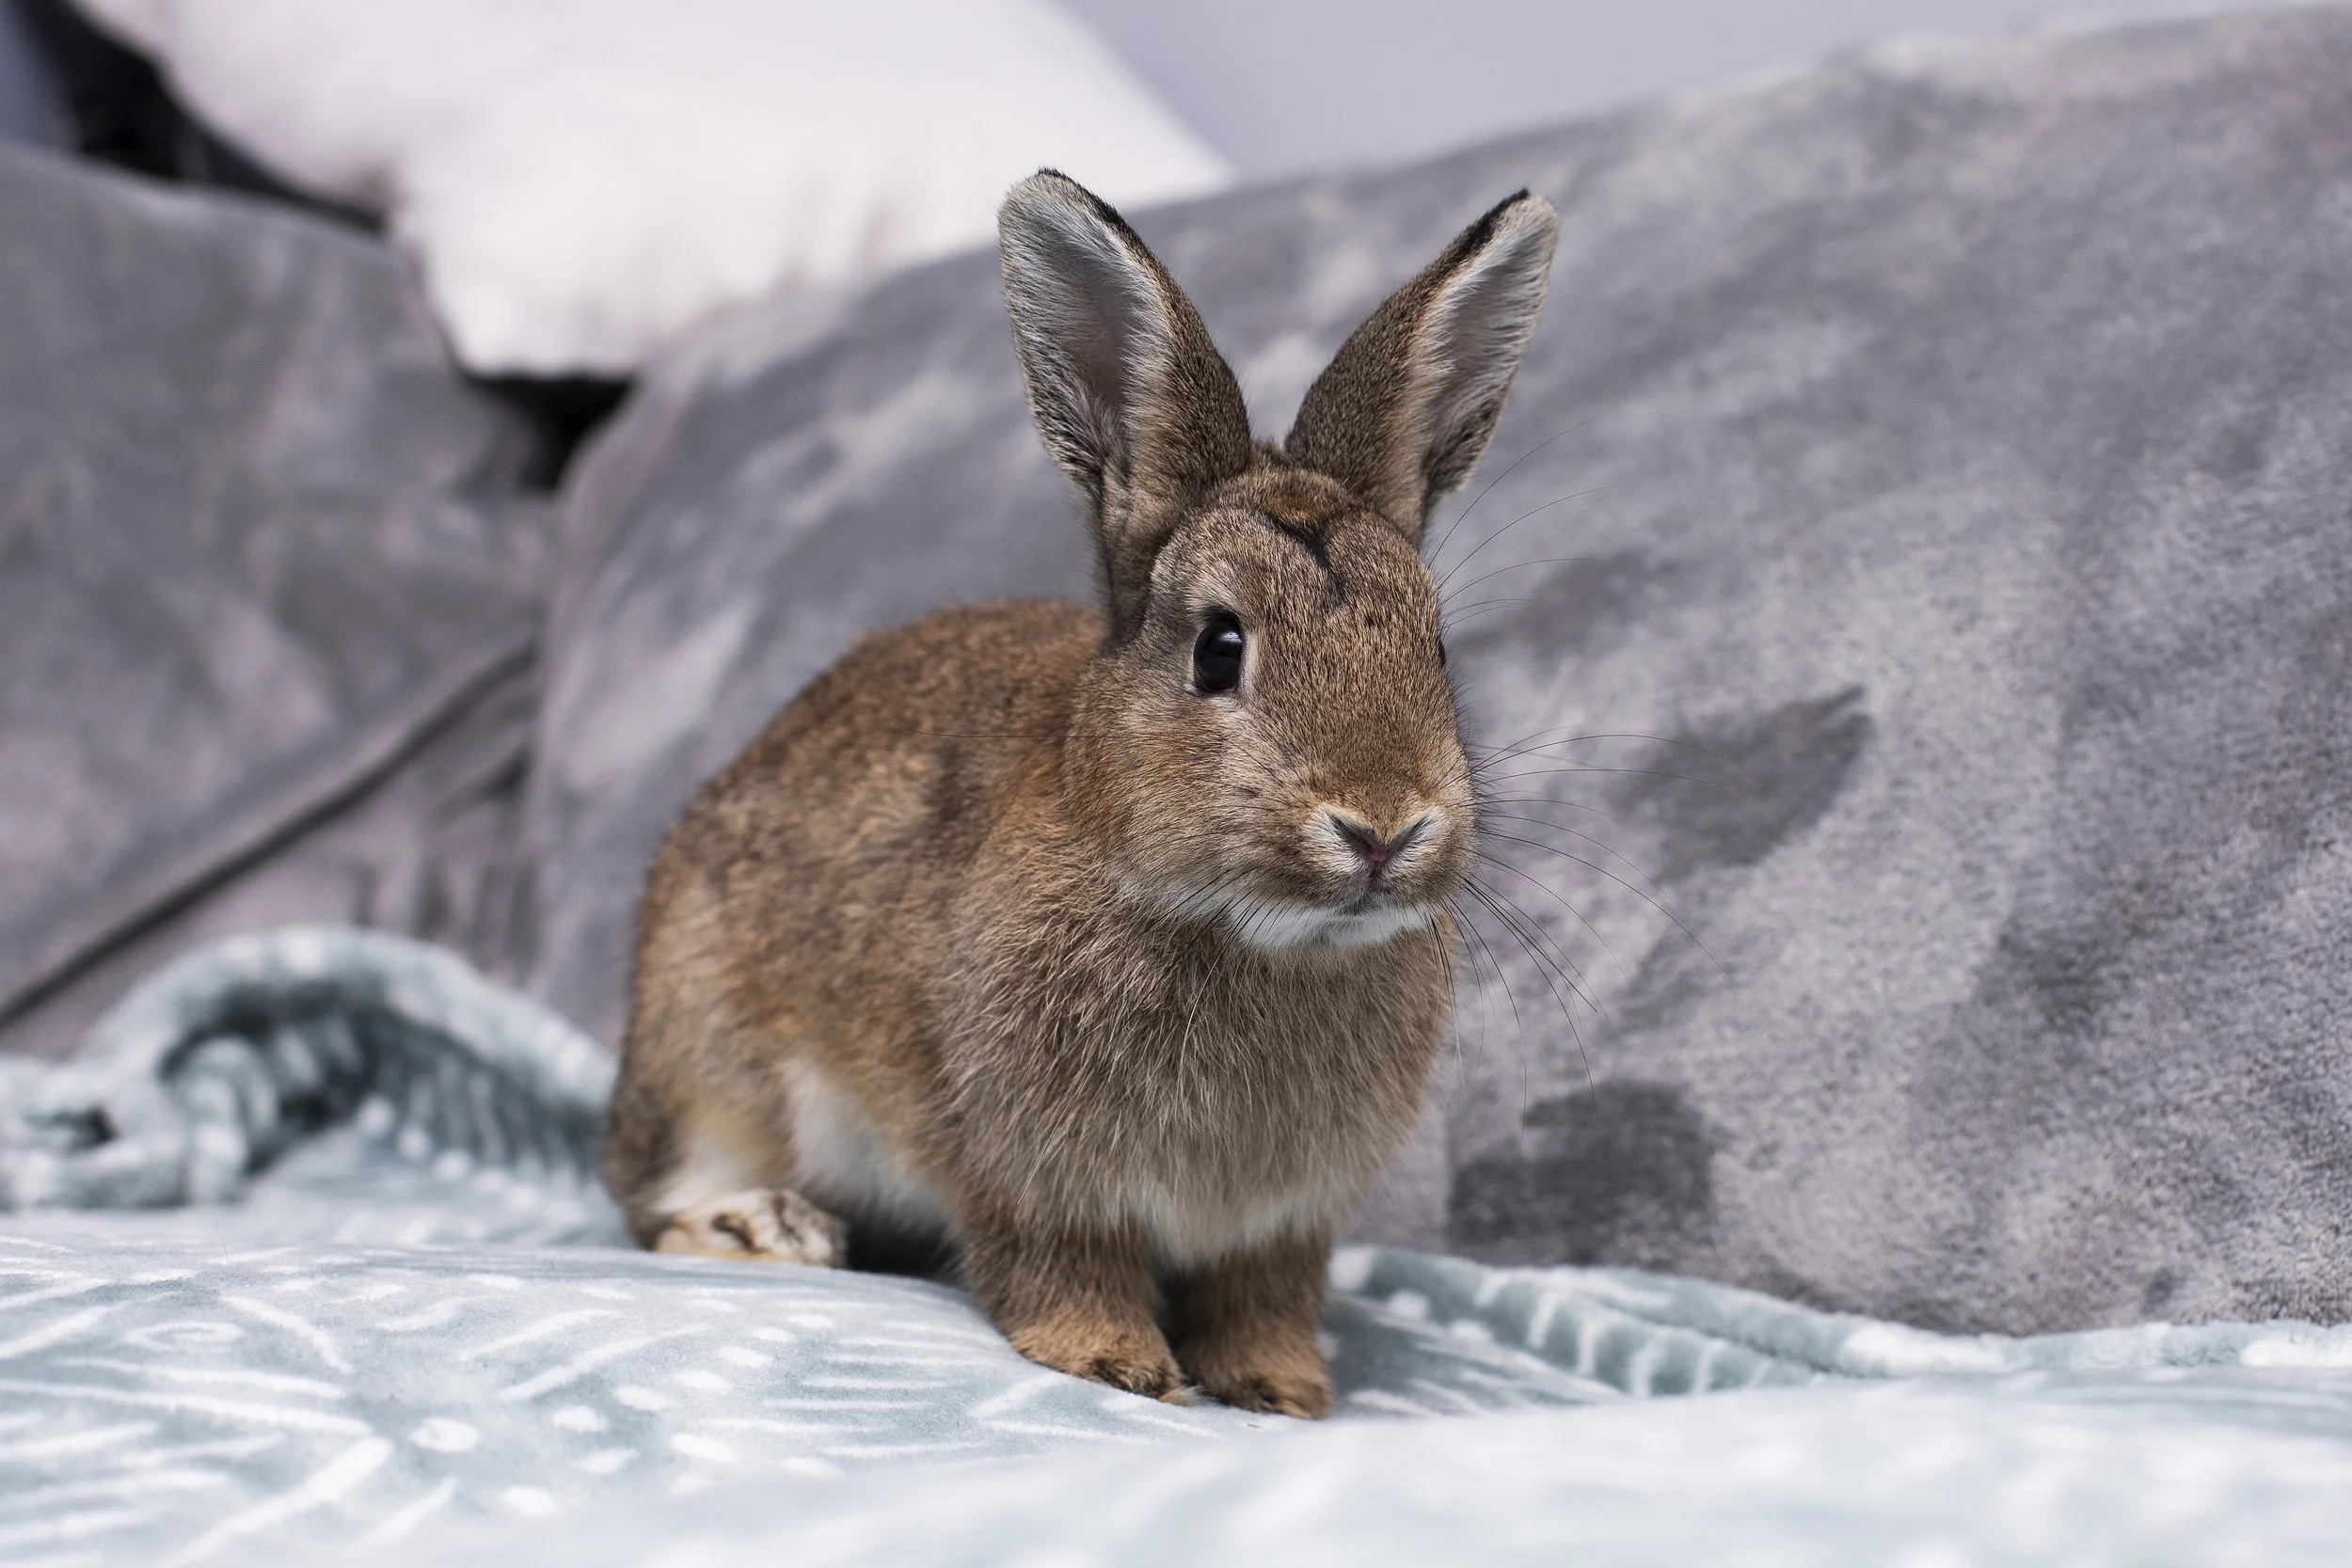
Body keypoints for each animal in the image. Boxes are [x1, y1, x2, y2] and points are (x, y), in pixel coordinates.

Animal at [605, 169, 1558, 1418]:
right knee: (656, 1198)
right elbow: (1062, 1263)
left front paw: (1281, 1388)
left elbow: (1261, 1297)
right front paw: (1113, 1361)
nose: (1382, 827)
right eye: (1218, 648)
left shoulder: (1279, 1225)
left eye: (1435, 651)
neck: (1249, 932)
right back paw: (769, 1228)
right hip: (710, 1048)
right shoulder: (1032, 1173)